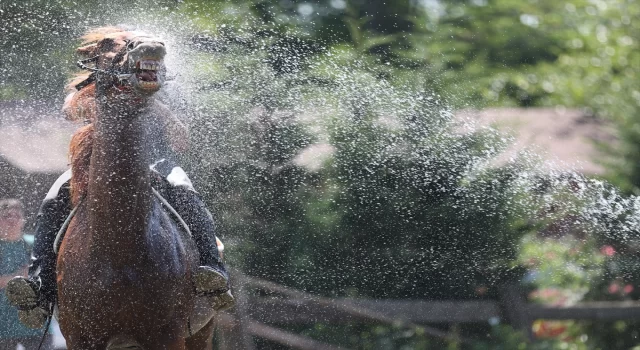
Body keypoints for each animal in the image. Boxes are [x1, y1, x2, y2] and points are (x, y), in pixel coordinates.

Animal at [57, 26, 218, 348]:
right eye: (106, 43)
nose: (150, 46)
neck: (119, 247)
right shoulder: (80, 334)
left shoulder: (168, 333)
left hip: (202, 332)